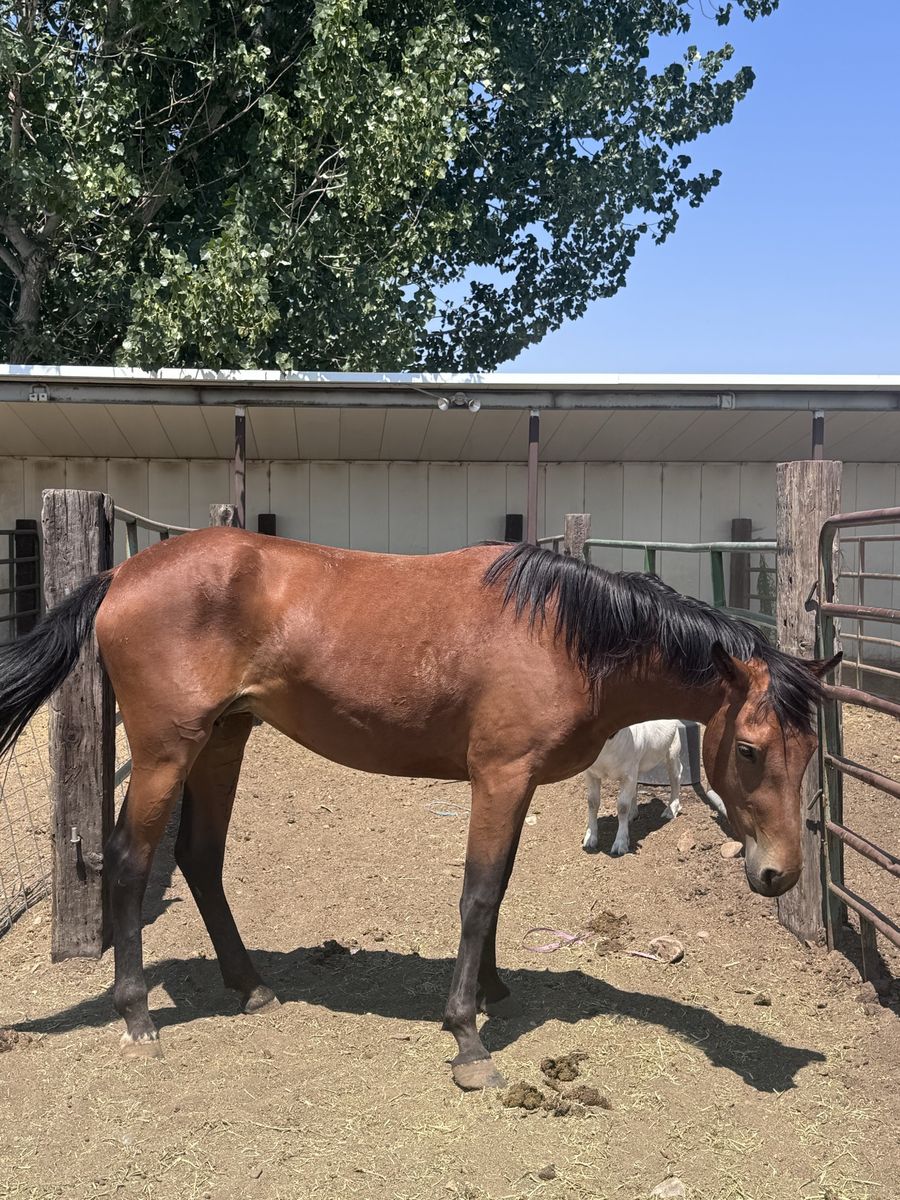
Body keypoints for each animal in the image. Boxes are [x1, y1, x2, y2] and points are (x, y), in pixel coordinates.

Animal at [0, 533, 839, 1091]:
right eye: (753, 749)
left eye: (809, 751)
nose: (779, 873)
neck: (561, 634)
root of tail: (120, 572)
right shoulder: (499, 776)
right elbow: (477, 895)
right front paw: (467, 1036)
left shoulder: (514, 783)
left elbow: (497, 892)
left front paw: (493, 990)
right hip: (167, 751)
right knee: (132, 859)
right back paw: (138, 1015)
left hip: (223, 739)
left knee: (200, 858)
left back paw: (252, 986)